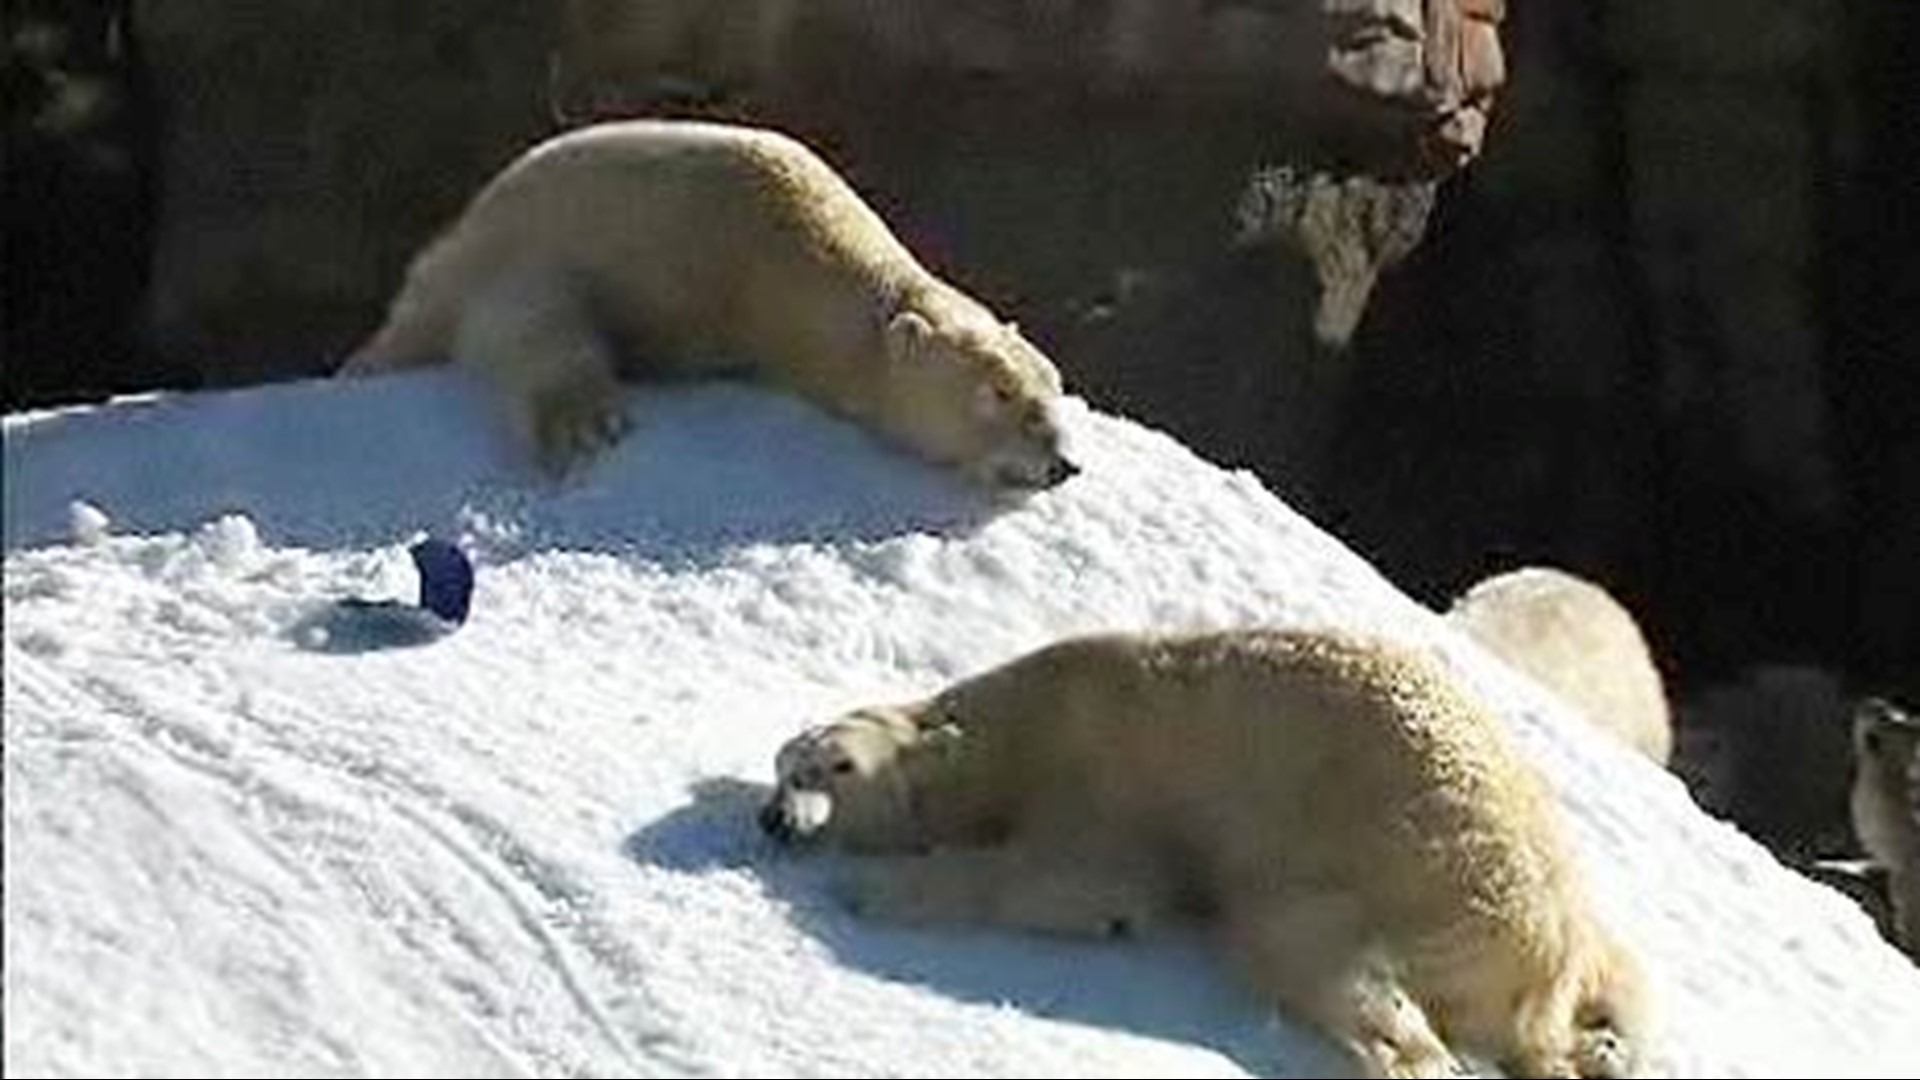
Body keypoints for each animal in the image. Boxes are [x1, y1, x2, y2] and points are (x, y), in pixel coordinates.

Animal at [338, 119, 1076, 491]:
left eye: (1054, 385)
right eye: (997, 393)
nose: (1063, 463)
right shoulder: (602, 231)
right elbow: (531, 316)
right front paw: (583, 423)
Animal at [760, 628, 1646, 1079]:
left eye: (834, 766)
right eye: (781, 765)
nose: (776, 819)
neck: (1012, 730)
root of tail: (1561, 942)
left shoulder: (1105, 771)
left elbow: (1076, 876)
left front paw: (880, 890)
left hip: (1406, 872)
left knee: (1311, 951)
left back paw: (1406, 1054)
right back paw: (1595, 1049)